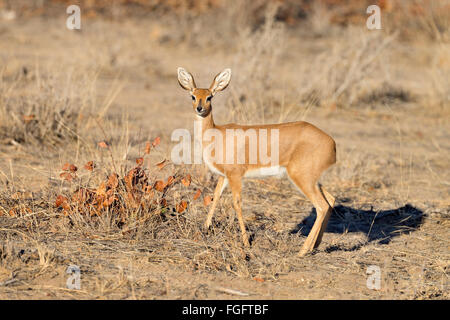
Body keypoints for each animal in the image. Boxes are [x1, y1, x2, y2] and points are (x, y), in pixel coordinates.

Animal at [178, 67, 336, 255]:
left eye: (210, 96)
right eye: (193, 96)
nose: (200, 108)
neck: (217, 135)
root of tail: (332, 143)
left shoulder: (235, 176)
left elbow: (237, 203)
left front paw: (246, 243)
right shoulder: (224, 176)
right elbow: (215, 197)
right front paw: (205, 228)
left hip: (302, 178)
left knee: (321, 206)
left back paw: (302, 251)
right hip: (313, 180)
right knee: (331, 200)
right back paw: (315, 245)